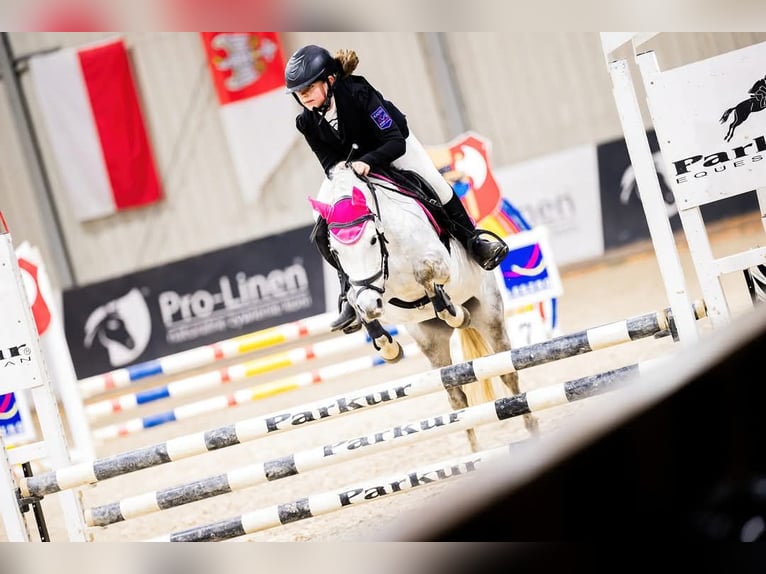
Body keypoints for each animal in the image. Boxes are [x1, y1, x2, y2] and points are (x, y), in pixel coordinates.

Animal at [308, 164, 536, 452]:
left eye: (372, 240)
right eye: (335, 251)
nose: (371, 305)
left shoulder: (440, 264)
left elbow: (424, 272)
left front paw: (453, 312)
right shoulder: (362, 290)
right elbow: (356, 299)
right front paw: (387, 346)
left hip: (489, 313)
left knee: (507, 373)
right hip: (430, 340)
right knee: (456, 395)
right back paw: (474, 453)